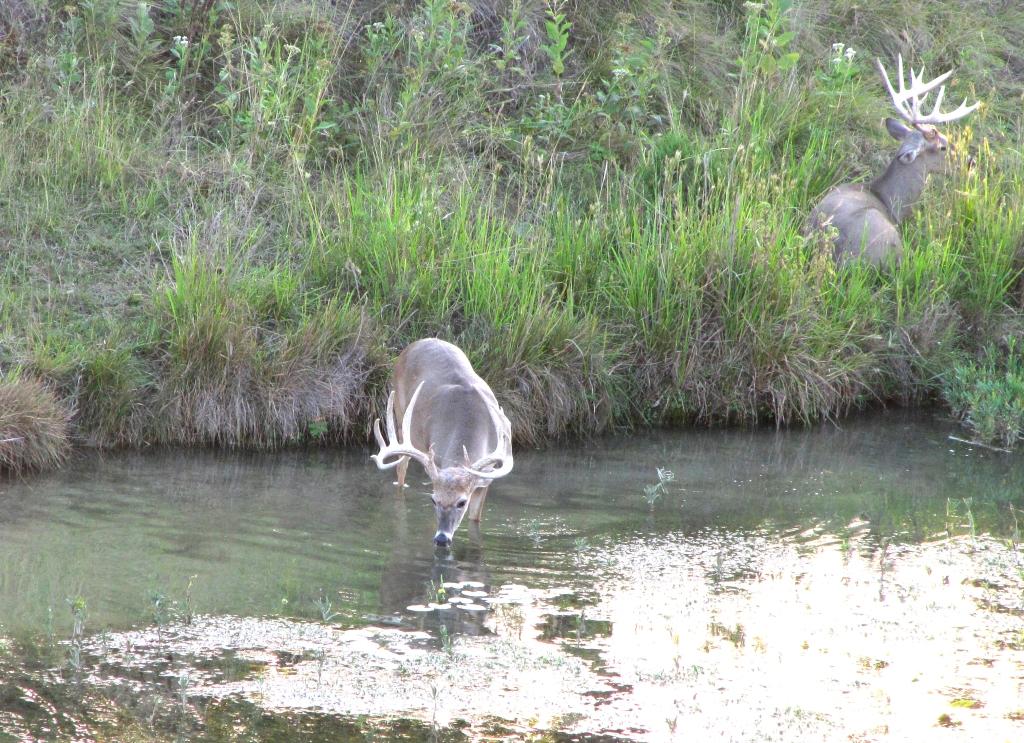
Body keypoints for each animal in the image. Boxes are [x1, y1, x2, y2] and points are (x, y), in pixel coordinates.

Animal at [370, 339, 516, 548]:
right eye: (433, 500)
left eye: (462, 502)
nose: (441, 539)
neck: (470, 422)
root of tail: (415, 344)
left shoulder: (486, 477)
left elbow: (476, 520)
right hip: (399, 415)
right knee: (400, 471)